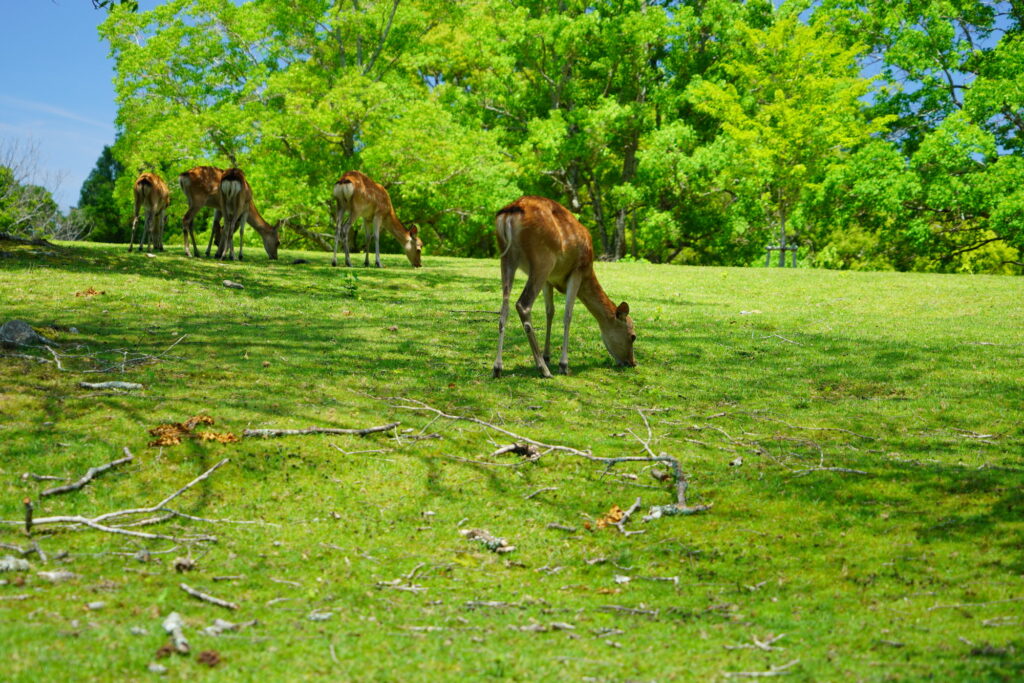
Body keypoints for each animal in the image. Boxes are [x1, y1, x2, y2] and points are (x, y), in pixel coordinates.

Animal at [491, 194, 634, 378]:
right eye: (633, 336)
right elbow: (568, 314)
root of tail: (509, 214)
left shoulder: (549, 280)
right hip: (543, 259)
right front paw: (563, 364)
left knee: (504, 308)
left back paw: (498, 367)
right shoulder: (577, 271)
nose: (632, 362)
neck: (589, 271)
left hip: (507, 258)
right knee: (523, 304)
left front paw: (547, 356)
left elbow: (550, 312)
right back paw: (543, 369)